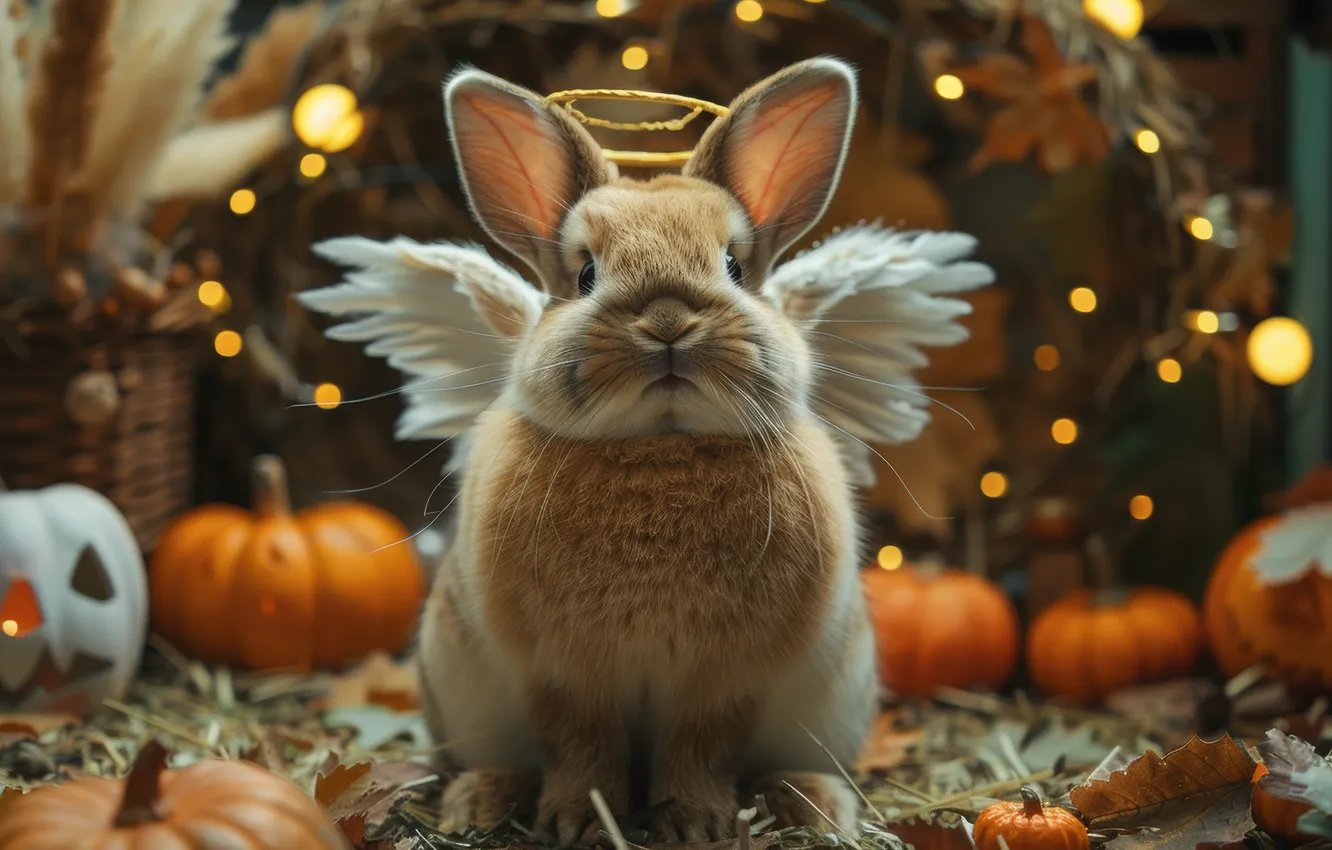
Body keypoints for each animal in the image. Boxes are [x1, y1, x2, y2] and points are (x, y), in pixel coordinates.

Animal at [300, 54, 994, 847]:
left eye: (733, 265)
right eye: (585, 275)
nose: (667, 320)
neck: (661, 445)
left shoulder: (722, 683)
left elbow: (700, 749)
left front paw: (694, 823)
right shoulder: (565, 676)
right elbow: (581, 744)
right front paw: (577, 819)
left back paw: (811, 805)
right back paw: (479, 800)